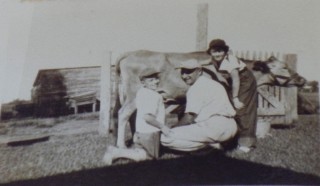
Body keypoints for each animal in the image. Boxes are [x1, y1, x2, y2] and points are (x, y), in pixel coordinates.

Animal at [112, 49, 304, 148]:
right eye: (284, 67)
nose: (302, 79)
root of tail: (130, 53)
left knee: (132, 116)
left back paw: (135, 140)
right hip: (133, 93)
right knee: (123, 114)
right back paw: (121, 145)